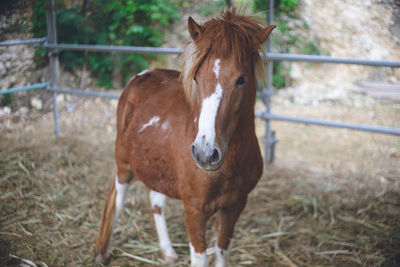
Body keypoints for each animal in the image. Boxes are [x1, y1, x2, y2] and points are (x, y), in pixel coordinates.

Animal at [94, 8, 276, 267]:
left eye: (242, 79)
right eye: (197, 78)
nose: (205, 154)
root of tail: (141, 76)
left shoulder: (234, 207)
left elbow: (222, 251)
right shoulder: (195, 210)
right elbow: (200, 258)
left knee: (156, 200)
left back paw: (167, 251)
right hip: (123, 166)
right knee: (117, 198)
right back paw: (102, 250)